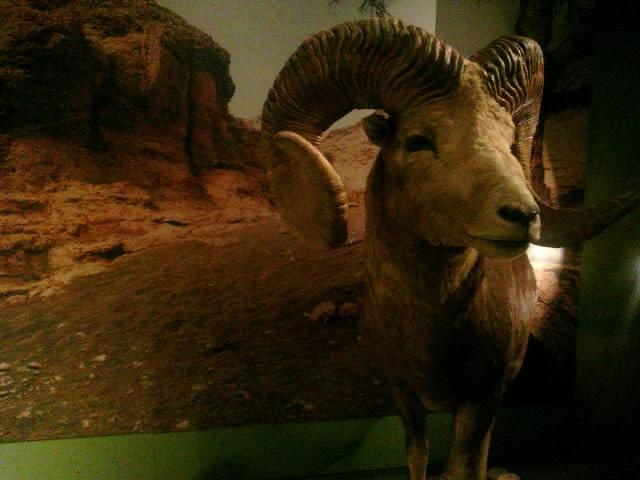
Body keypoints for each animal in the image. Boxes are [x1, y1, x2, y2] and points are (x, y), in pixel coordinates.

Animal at [261, 18, 640, 480]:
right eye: (418, 141)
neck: (432, 336)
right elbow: (418, 456)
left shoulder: (481, 399)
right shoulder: (404, 395)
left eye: (508, 140)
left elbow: (465, 465)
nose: (523, 215)